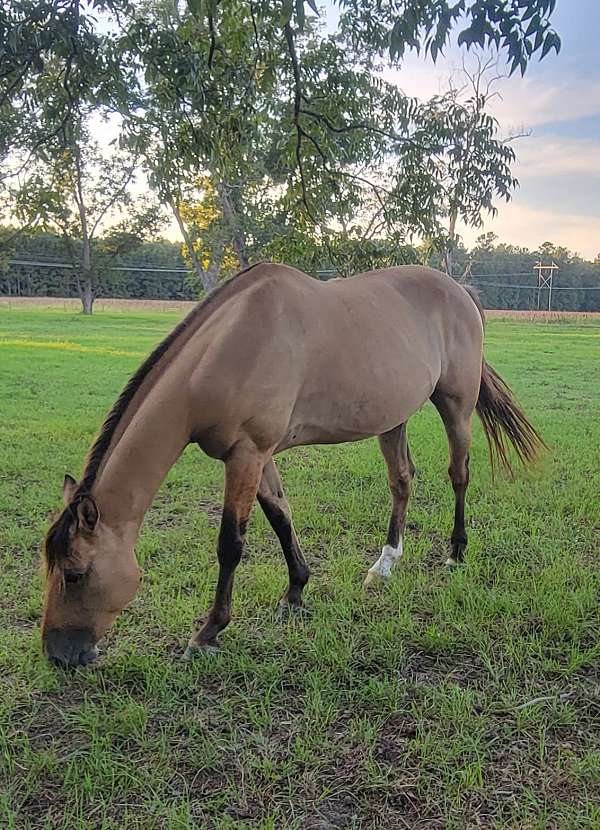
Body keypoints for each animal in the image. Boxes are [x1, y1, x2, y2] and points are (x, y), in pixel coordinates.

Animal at [42, 266, 544, 668]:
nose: (57, 655)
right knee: (401, 482)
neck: (224, 351)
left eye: (76, 574)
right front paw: (296, 593)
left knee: (459, 475)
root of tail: (460, 291)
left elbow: (231, 544)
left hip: (456, 404)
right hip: (393, 418)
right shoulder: (256, 456)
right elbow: (281, 517)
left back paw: (456, 553)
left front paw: (208, 633)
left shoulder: (247, 453)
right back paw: (384, 565)